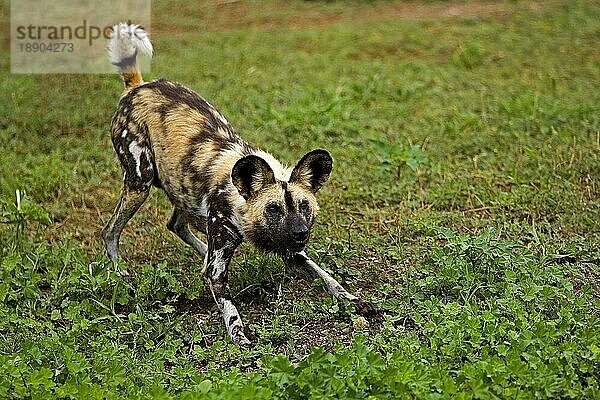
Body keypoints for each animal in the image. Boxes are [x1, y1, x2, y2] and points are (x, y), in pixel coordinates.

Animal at [103, 22, 376, 346]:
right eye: (273, 209)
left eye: (304, 206)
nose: (300, 232)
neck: (239, 202)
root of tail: (137, 86)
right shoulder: (220, 264)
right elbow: (228, 304)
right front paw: (239, 336)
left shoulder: (293, 254)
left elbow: (328, 277)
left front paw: (353, 299)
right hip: (139, 184)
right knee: (110, 232)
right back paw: (123, 275)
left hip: (181, 188)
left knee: (177, 225)